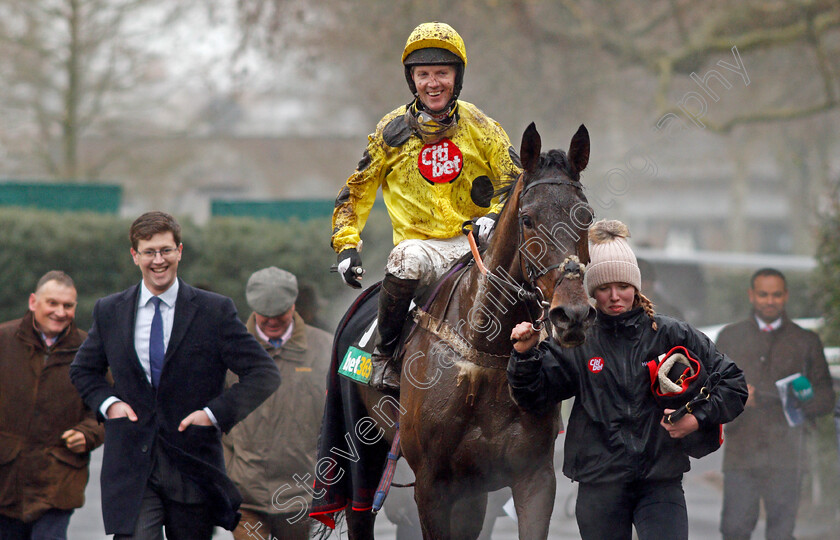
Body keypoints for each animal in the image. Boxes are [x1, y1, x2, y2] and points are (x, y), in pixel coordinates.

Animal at [340, 123, 592, 540]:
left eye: (586, 216)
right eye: (528, 219)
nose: (572, 314)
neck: (484, 351)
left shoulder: (533, 476)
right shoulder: (432, 484)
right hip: (363, 448)